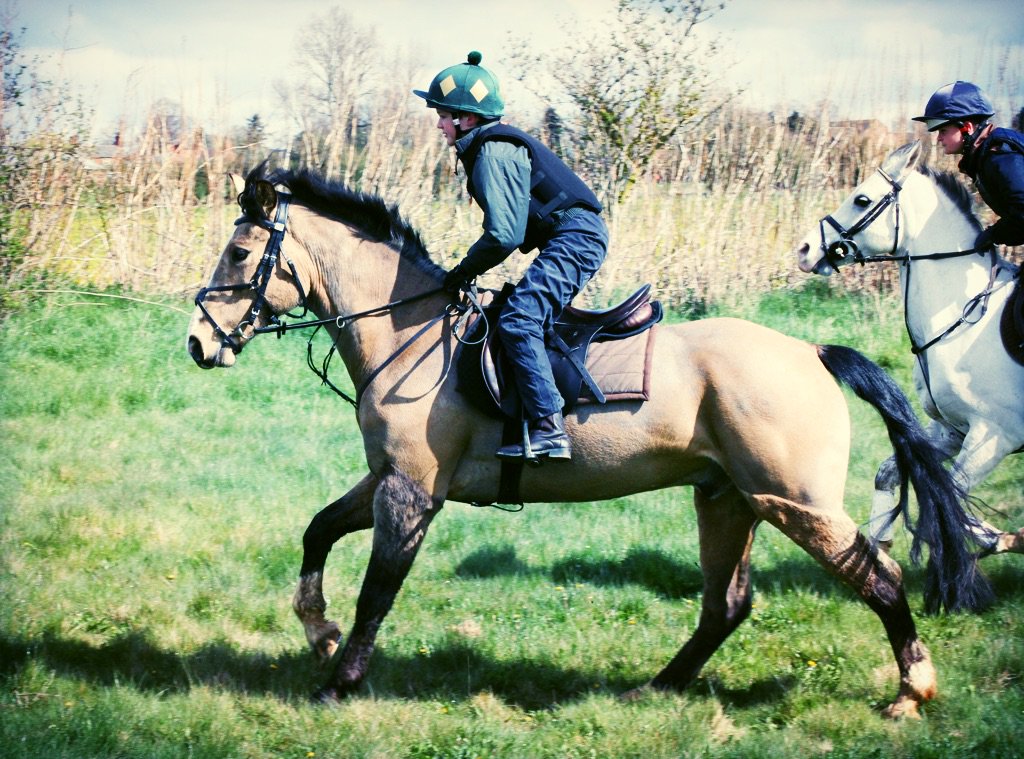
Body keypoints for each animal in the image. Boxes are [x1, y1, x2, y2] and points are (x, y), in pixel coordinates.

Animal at [186, 162, 991, 718]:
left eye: (238, 255)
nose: (198, 343)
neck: (408, 333)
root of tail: (813, 352)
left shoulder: (412, 492)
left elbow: (377, 590)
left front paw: (338, 681)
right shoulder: (387, 478)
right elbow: (318, 530)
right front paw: (317, 631)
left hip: (795, 501)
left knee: (880, 576)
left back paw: (913, 690)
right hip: (729, 498)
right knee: (726, 603)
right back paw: (657, 687)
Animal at [796, 140, 1024, 558]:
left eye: (861, 199)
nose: (804, 250)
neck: (964, 316)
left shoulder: (995, 436)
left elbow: (954, 496)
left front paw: (1002, 539)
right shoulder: (950, 430)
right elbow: (888, 474)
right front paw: (878, 547)